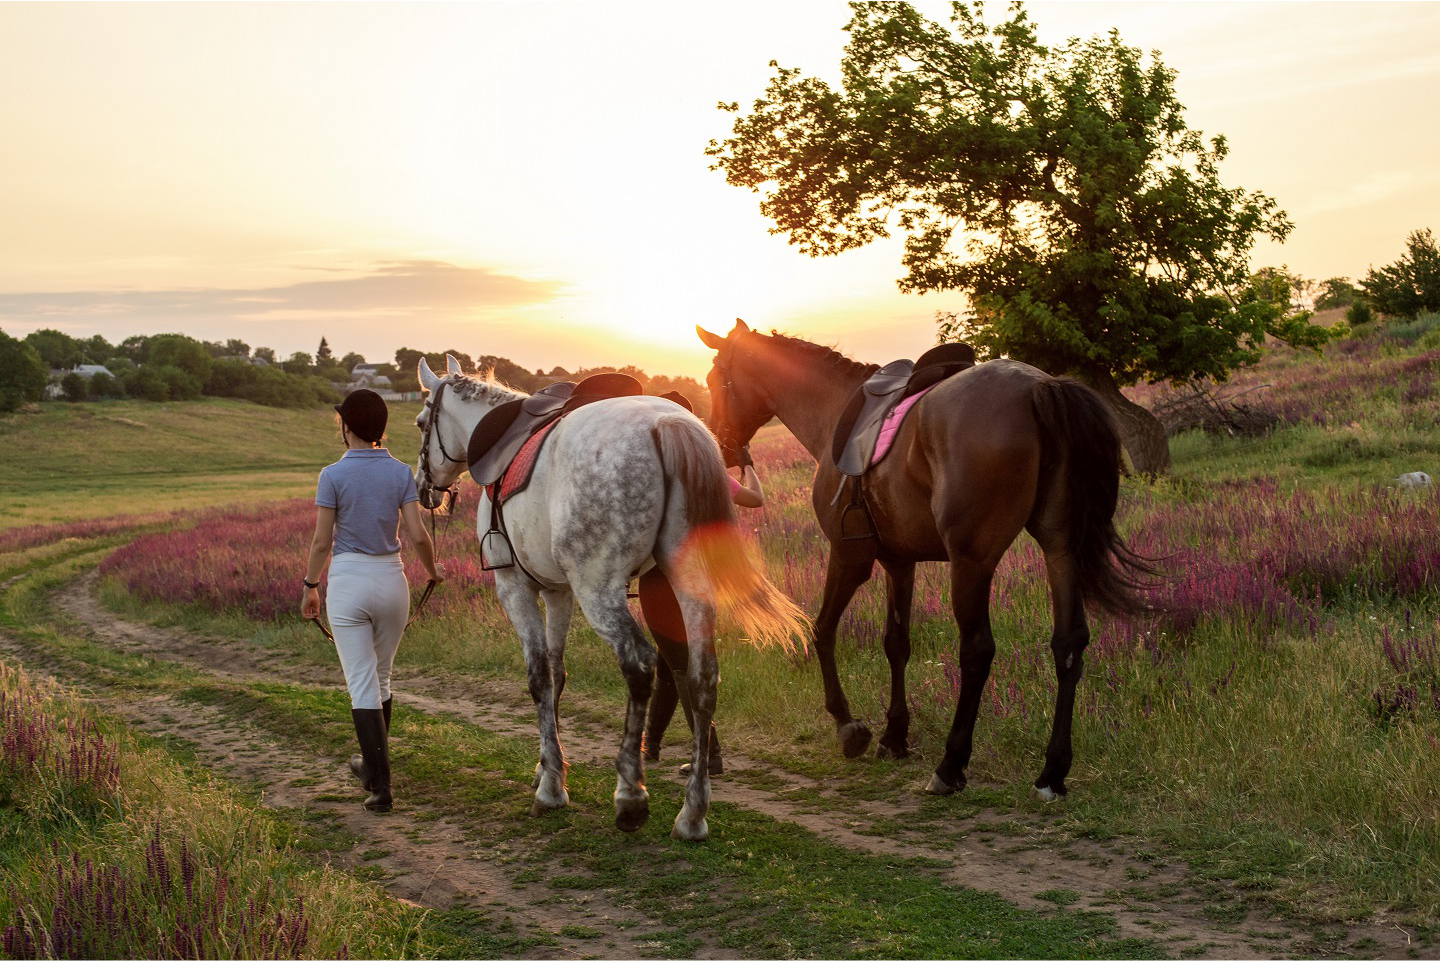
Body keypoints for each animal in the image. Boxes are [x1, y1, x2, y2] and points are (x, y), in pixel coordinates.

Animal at [691, 321, 1152, 794]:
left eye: (714, 381)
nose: (721, 447)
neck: (834, 410)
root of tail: (1041, 386)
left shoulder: (849, 557)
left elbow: (821, 630)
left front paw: (848, 726)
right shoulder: (899, 563)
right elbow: (896, 643)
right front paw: (895, 735)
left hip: (972, 563)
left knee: (977, 651)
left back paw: (951, 764)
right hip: (1061, 550)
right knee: (1069, 644)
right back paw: (1052, 771)